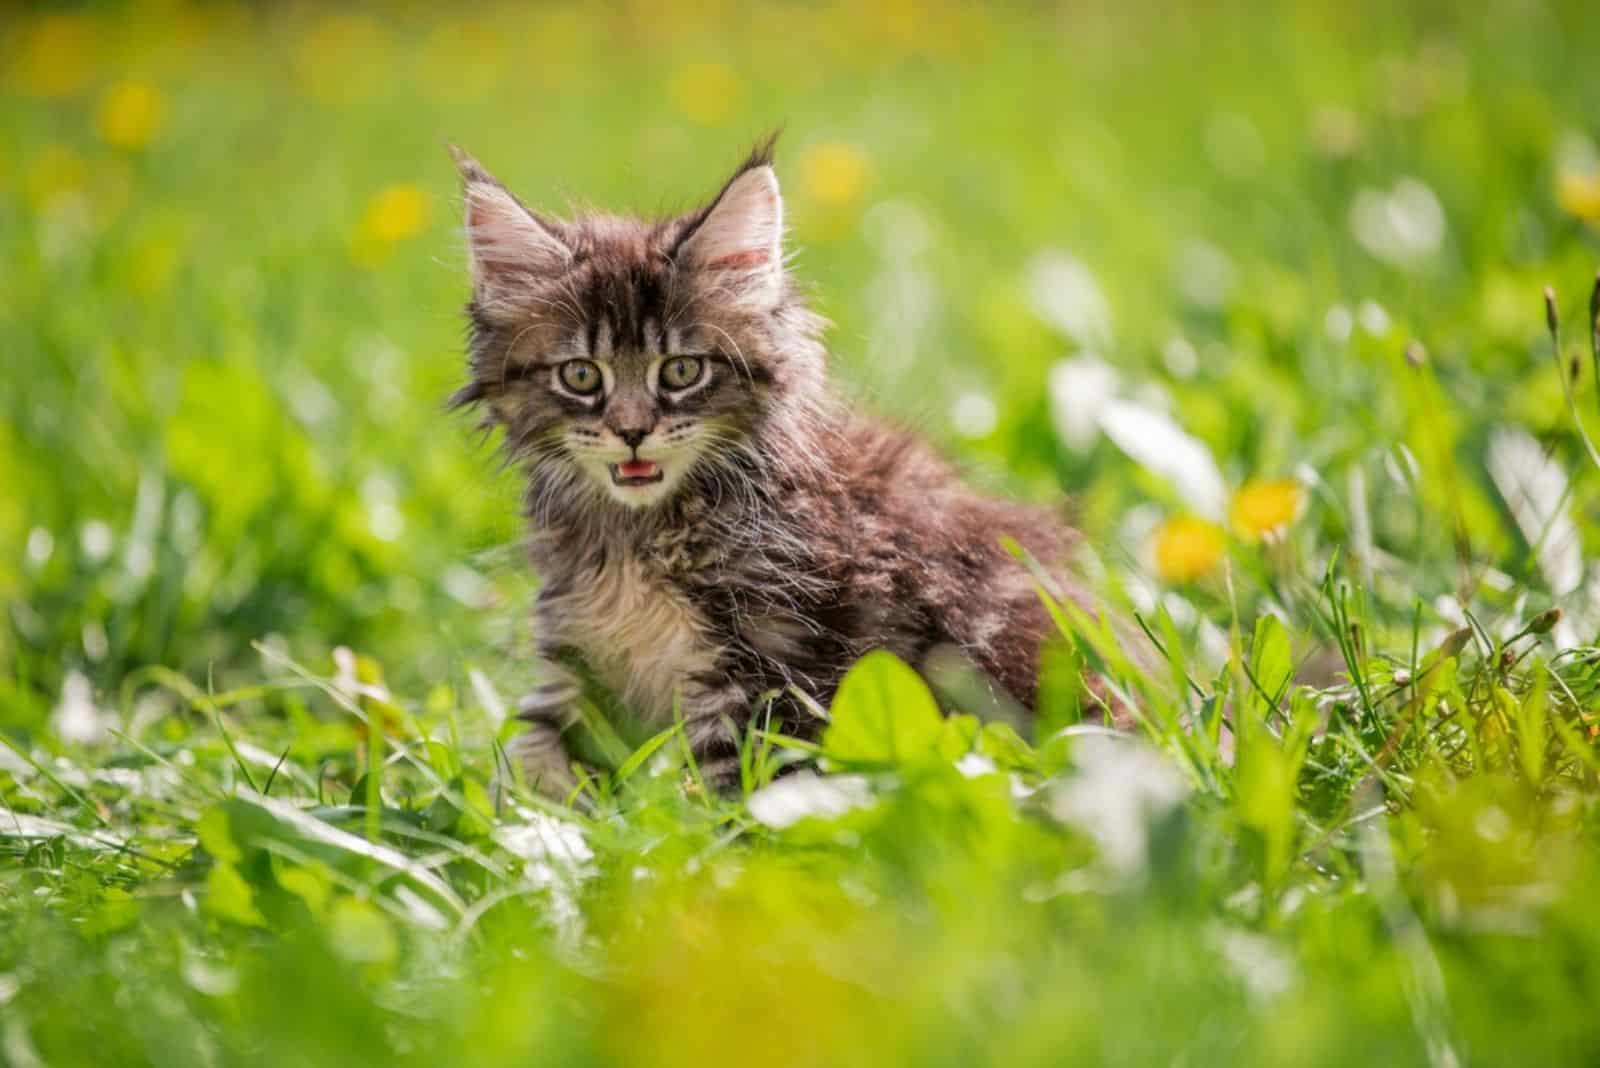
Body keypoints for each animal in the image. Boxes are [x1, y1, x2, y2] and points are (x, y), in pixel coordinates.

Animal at [451, 139, 1088, 793]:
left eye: (682, 370)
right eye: (581, 375)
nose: (631, 433)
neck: (639, 536)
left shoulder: (765, 671)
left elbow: (738, 795)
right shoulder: (575, 659)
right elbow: (529, 771)